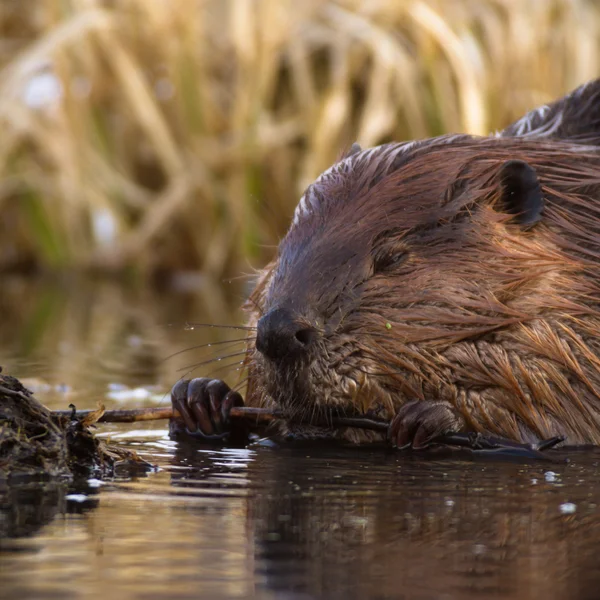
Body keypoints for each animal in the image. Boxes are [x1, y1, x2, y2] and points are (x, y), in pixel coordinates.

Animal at [170, 78, 600, 446]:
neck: (580, 221)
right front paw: (200, 396)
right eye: (283, 249)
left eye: (392, 257)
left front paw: (429, 418)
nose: (278, 333)